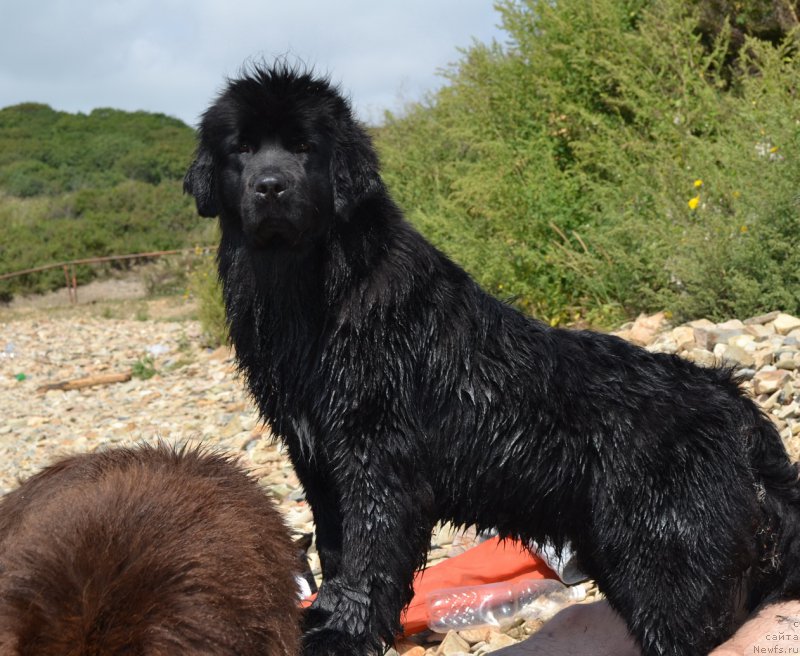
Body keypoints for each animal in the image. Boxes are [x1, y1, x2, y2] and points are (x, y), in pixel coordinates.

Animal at [184, 65, 800, 656]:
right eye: (242, 148)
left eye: (304, 147)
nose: (270, 187)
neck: (312, 292)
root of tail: (741, 415)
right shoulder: (313, 456)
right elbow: (336, 545)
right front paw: (327, 616)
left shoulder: (376, 450)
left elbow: (369, 548)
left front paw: (343, 631)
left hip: (667, 563)